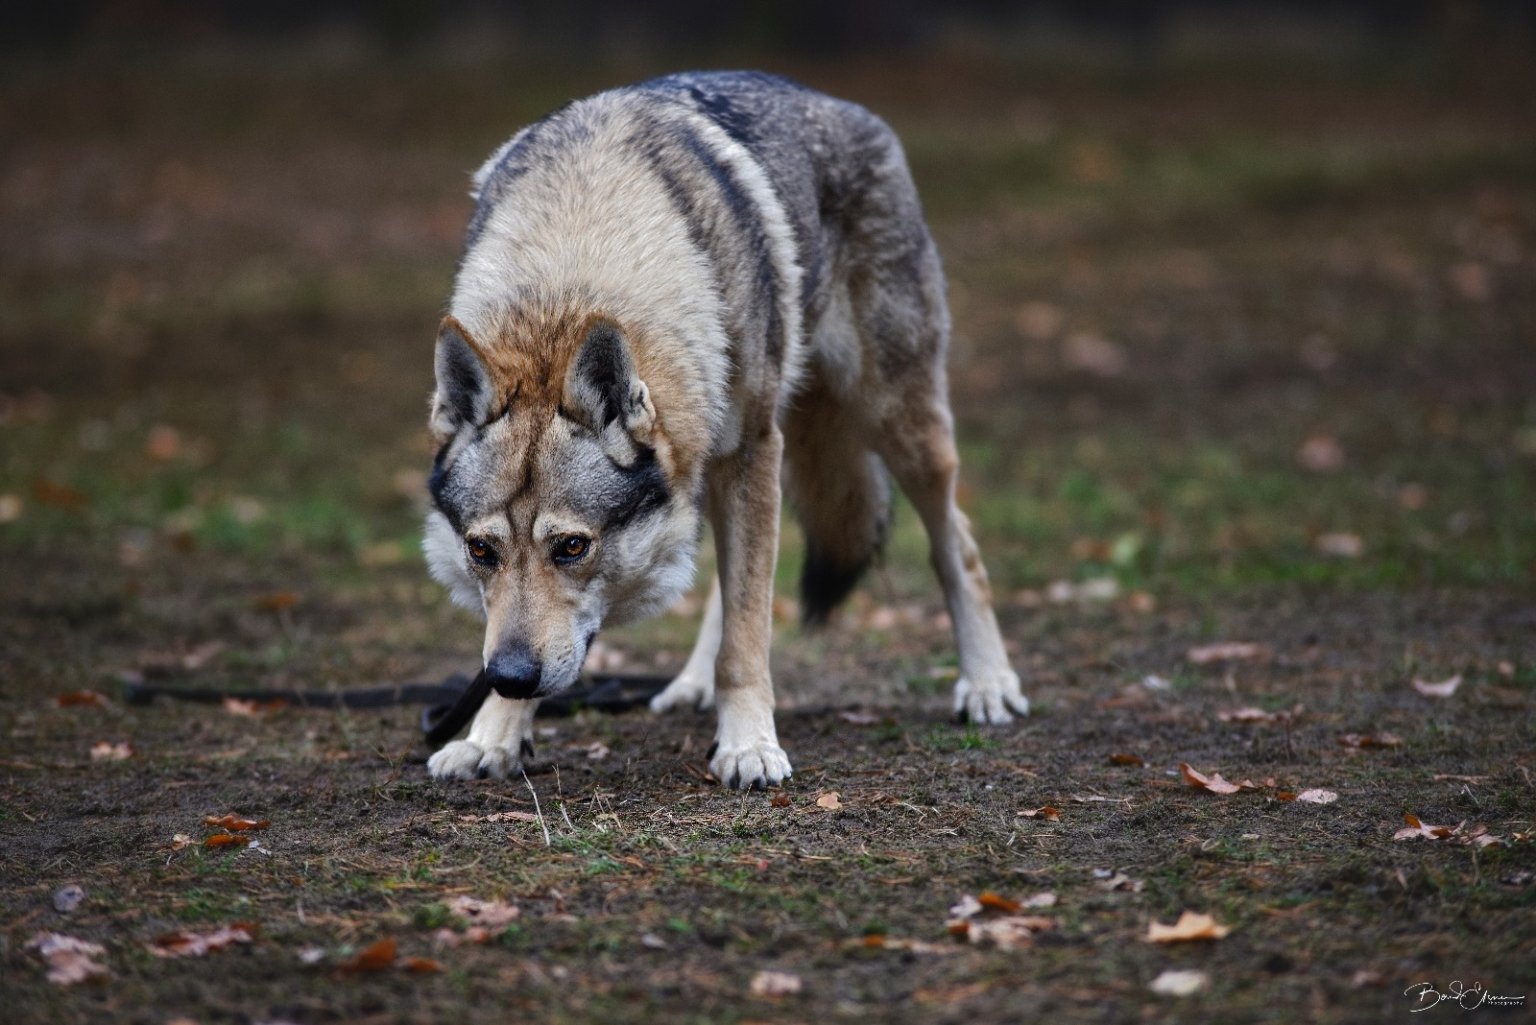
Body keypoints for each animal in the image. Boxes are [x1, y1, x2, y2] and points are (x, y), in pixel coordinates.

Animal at [422, 71, 1028, 789]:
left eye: (571, 547)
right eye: (480, 550)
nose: (511, 677)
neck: (569, 272)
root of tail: (842, 104)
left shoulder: (754, 451)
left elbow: (748, 633)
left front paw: (749, 746)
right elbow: (735, 601)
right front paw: (490, 736)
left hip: (897, 426)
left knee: (955, 543)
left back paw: (987, 683)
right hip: (718, 466)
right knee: (726, 583)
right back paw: (691, 685)